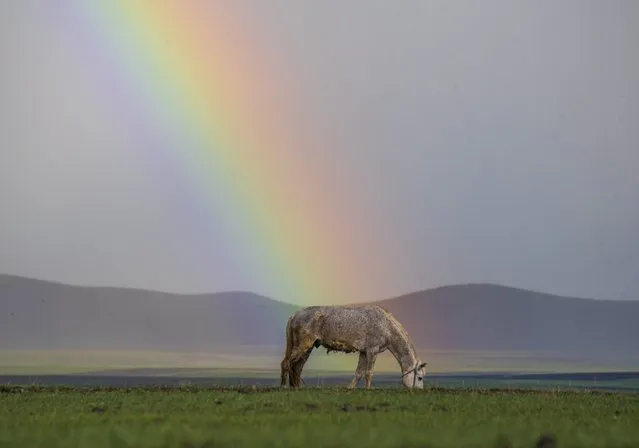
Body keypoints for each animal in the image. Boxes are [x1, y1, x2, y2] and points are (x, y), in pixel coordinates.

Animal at [282, 304, 428, 388]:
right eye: (420, 377)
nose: (418, 392)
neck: (386, 326)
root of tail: (294, 315)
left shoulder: (363, 352)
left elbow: (358, 373)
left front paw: (350, 389)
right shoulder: (372, 351)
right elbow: (369, 373)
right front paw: (368, 390)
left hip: (308, 348)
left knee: (297, 367)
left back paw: (297, 388)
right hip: (302, 346)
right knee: (286, 364)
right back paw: (284, 387)